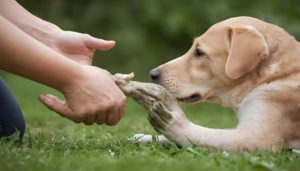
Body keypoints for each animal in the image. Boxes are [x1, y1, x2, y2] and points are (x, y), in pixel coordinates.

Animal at [139, 16, 300, 152]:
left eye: (199, 52)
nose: (152, 74)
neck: (274, 75)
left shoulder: (256, 138)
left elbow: (203, 134)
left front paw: (172, 121)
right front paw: (145, 137)